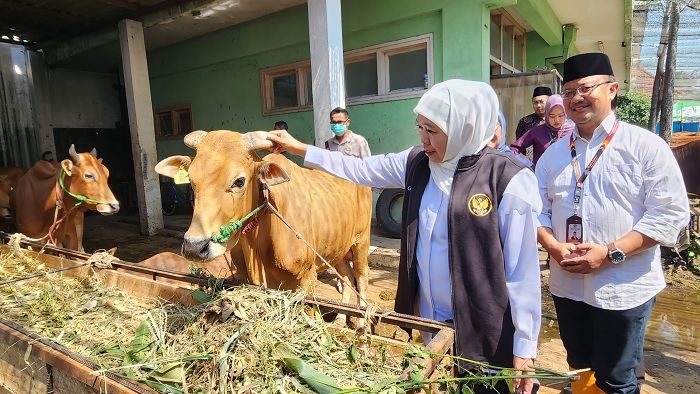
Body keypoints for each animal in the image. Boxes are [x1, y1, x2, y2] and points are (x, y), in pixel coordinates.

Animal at [153, 131, 372, 310]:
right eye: (191, 179)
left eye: (239, 181)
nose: (194, 247)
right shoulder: (243, 276)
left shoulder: (306, 279)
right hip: (339, 249)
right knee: (346, 278)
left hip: (361, 242)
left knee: (361, 277)